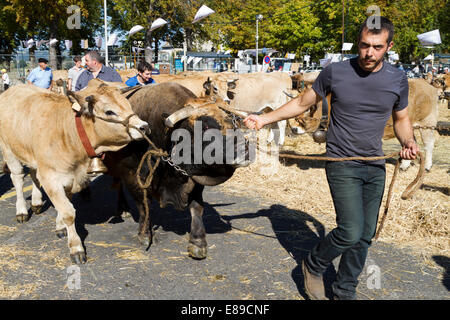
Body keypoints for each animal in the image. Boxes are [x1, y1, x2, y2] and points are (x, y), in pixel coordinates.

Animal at [0, 79, 148, 264]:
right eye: (109, 112)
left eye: (128, 105)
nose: (144, 127)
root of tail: (14, 88)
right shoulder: (51, 177)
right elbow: (68, 212)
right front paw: (76, 248)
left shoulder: (71, 177)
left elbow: (65, 204)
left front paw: (60, 226)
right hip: (9, 150)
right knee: (18, 178)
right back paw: (21, 211)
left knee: (34, 174)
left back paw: (36, 202)